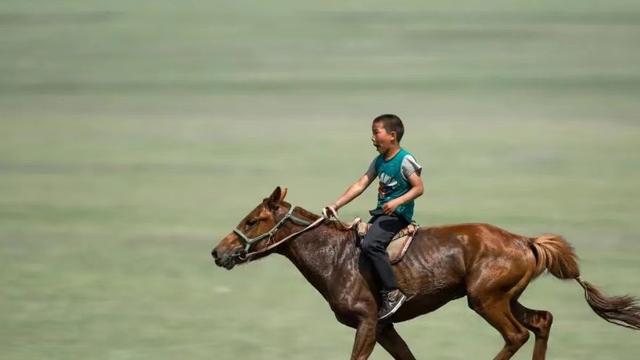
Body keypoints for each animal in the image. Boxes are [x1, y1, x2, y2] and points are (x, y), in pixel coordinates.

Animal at [212, 187, 640, 358]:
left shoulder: (368, 323)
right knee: (542, 320)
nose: (218, 252)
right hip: (505, 297)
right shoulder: (385, 328)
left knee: (518, 333)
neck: (334, 257)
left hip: (485, 300)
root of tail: (526, 241)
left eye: (253, 220)